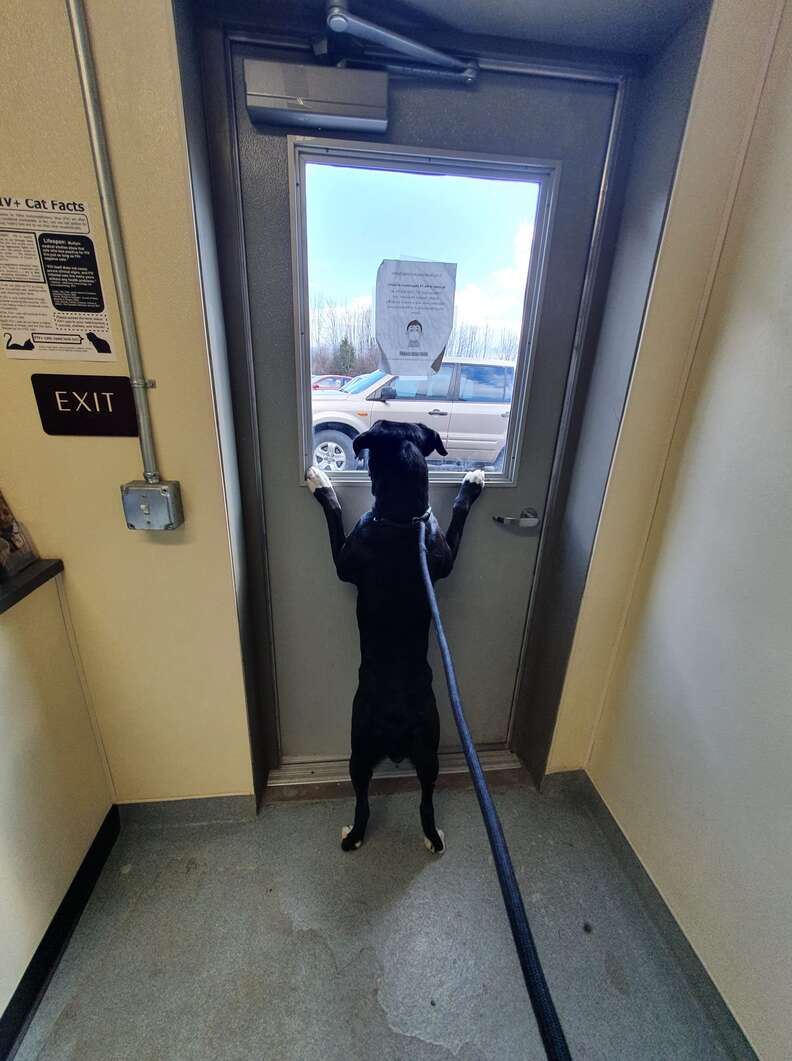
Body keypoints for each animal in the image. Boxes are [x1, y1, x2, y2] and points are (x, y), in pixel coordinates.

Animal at [305, 418, 484, 857]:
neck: (404, 519)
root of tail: (398, 725)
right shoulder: (443, 552)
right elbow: (456, 520)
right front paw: (471, 482)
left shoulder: (344, 560)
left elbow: (334, 514)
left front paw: (321, 482)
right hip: (430, 750)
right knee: (425, 802)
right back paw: (433, 836)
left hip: (358, 747)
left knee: (364, 805)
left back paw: (352, 836)